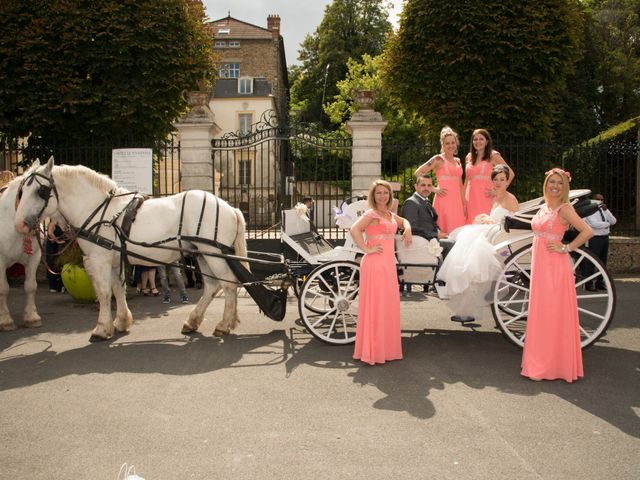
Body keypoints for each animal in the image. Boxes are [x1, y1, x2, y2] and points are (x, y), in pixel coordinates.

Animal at [0, 169, 42, 330]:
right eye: (23, 192)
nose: (27, 224)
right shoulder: (0, 260)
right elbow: (3, 289)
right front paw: (5, 320)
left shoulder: (34, 257)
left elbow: (31, 286)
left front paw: (32, 317)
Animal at [15, 158, 245, 342]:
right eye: (21, 191)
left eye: (40, 191)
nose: (20, 225)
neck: (99, 209)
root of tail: (230, 207)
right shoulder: (114, 259)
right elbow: (118, 288)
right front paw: (121, 322)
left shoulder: (98, 259)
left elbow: (104, 293)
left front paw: (101, 329)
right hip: (203, 254)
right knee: (213, 286)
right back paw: (193, 321)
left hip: (213, 254)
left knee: (228, 283)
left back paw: (224, 325)